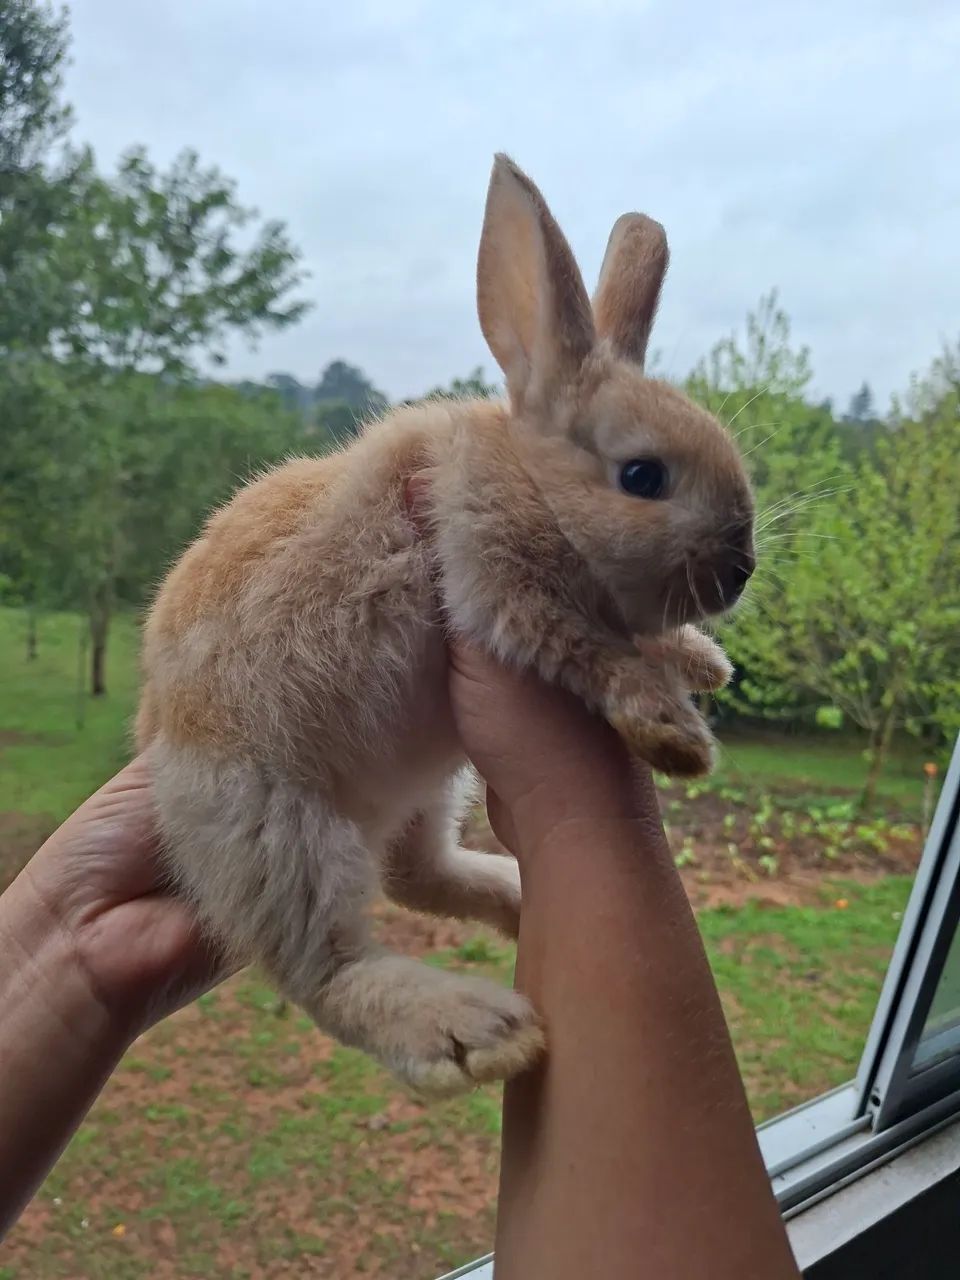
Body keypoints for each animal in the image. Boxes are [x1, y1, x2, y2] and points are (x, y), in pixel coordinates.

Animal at [137, 154, 755, 1097]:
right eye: (643, 476)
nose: (741, 571)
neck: (531, 482)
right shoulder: (500, 591)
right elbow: (593, 653)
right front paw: (675, 735)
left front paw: (705, 662)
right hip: (274, 830)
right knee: (325, 966)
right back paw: (475, 1031)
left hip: (431, 784)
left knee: (417, 875)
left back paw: (511, 897)